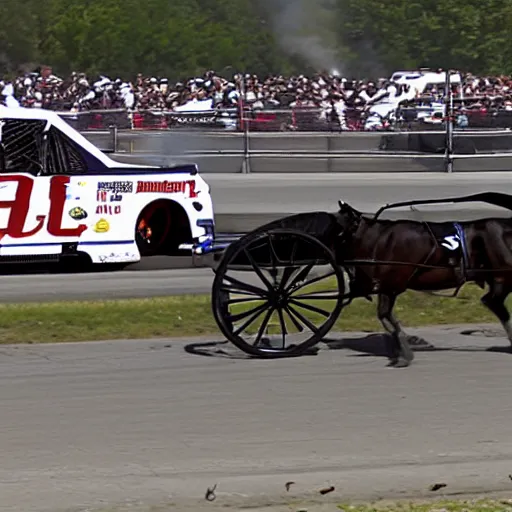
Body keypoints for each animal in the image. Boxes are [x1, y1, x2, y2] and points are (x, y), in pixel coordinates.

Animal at [334, 197, 512, 368]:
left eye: (335, 224)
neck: (379, 239)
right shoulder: (385, 286)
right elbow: (386, 317)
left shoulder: (390, 285)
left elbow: (386, 317)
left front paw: (403, 354)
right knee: (493, 301)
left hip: (501, 274)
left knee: (494, 301)